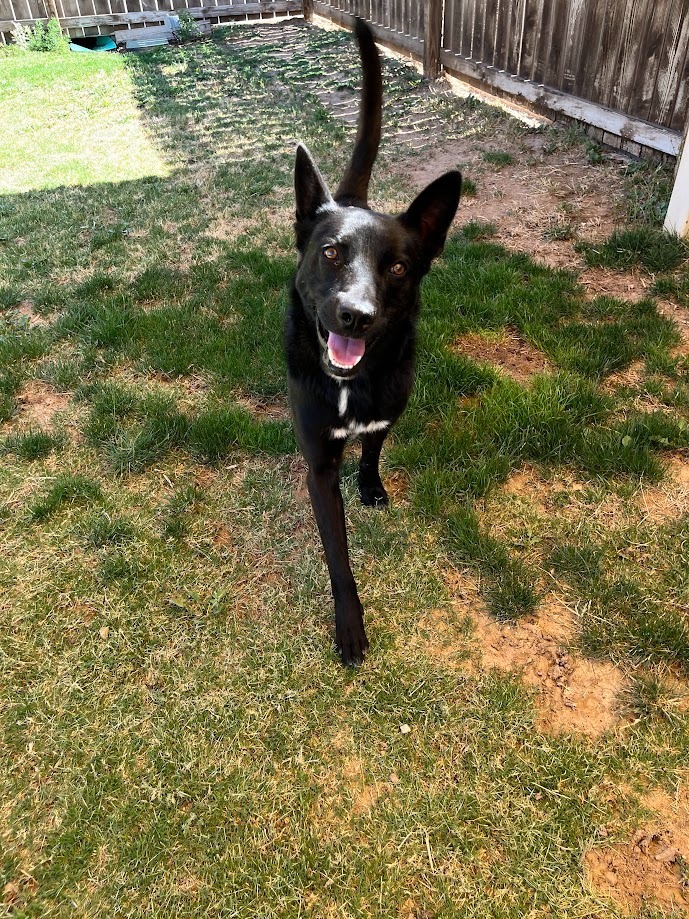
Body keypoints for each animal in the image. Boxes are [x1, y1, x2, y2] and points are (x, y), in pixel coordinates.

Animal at [284, 21, 462, 664]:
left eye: (399, 268)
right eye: (333, 252)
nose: (355, 316)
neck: (350, 386)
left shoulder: (388, 410)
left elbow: (373, 448)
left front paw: (371, 486)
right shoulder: (318, 464)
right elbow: (338, 556)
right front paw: (349, 624)